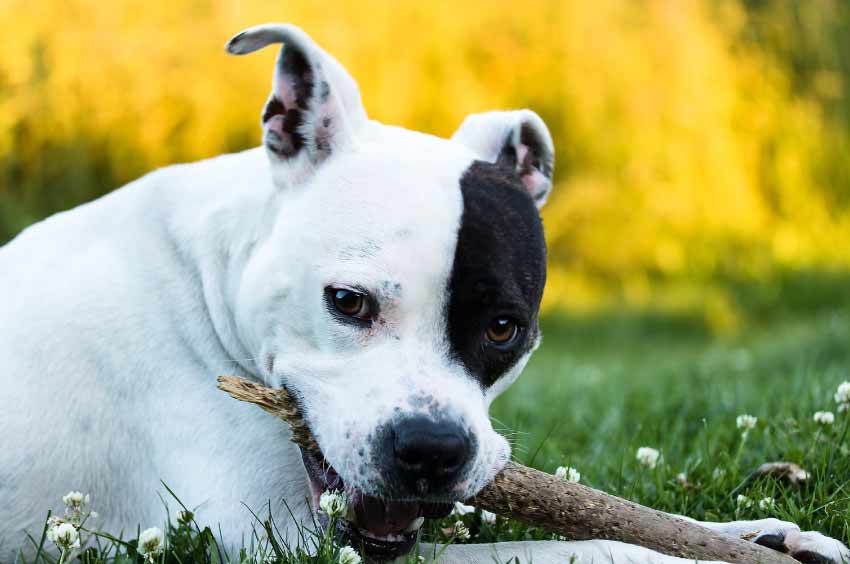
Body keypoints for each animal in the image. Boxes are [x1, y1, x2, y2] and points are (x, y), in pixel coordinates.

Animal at [1, 23, 848, 564]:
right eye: (346, 302)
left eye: (505, 328)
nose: (432, 450)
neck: (206, 279)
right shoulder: (281, 542)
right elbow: (589, 548)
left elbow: (625, 521)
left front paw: (760, 534)